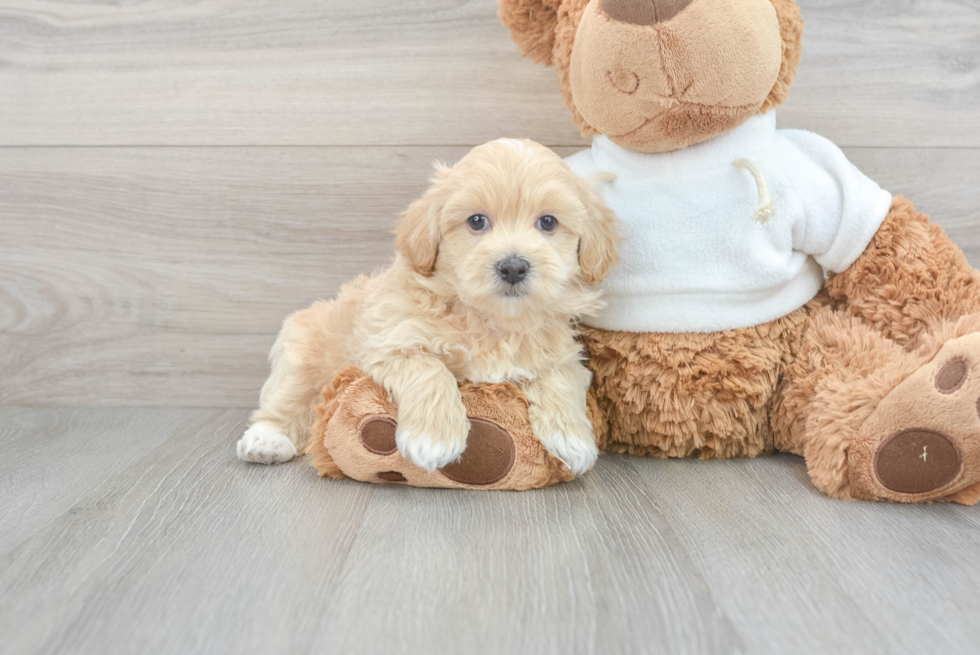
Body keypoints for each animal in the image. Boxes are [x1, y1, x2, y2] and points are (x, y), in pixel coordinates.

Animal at [238, 140, 620, 476]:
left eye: (548, 222)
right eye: (477, 221)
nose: (513, 267)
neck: (491, 319)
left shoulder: (562, 355)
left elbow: (561, 378)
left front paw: (572, 439)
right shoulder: (389, 339)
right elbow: (429, 367)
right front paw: (434, 438)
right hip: (305, 356)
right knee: (287, 401)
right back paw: (267, 440)